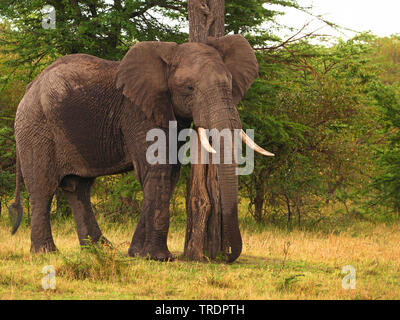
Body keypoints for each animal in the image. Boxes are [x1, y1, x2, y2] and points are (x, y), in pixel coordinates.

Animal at [8, 33, 272, 262]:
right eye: (189, 88)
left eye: (230, 84)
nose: (226, 255)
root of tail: (29, 87)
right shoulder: (137, 111)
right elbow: (158, 169)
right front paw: (159, 257)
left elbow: (169, 172)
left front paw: (138, 253)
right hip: (36, 128)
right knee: (43, 187)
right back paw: (46, 253)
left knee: (78, 188)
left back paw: (101, 249)